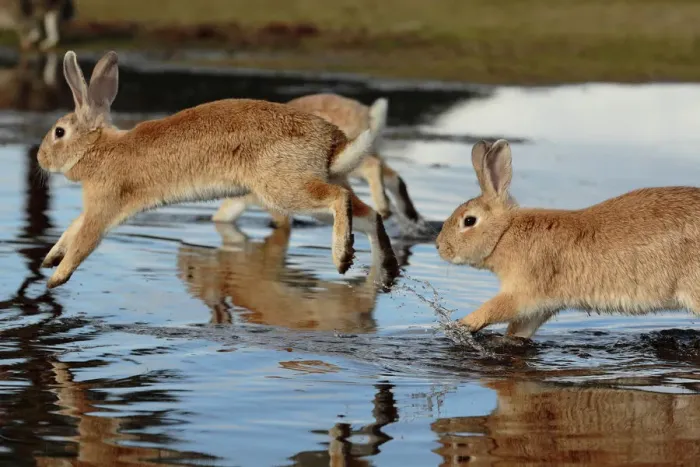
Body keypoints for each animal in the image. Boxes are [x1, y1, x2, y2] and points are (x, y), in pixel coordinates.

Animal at [37, 50, 398, 289]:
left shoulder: (105, 203)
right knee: (368, 215)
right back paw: (385, 269)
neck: (99, 149)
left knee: (339, 199)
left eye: (59, 132)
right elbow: (73, 228)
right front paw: (50, 258)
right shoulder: (97, 204)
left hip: (285, 188)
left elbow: (85, 238)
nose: (40, 158)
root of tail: (332, 144)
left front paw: (56, 277)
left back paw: (341, 258)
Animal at [435, 139, 700, 338]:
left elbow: (496, 308)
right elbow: (518, 330)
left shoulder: (523, 291)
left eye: (469, 221)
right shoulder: (539, 307)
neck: (505, 232)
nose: (440, 247)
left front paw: (461, 324)